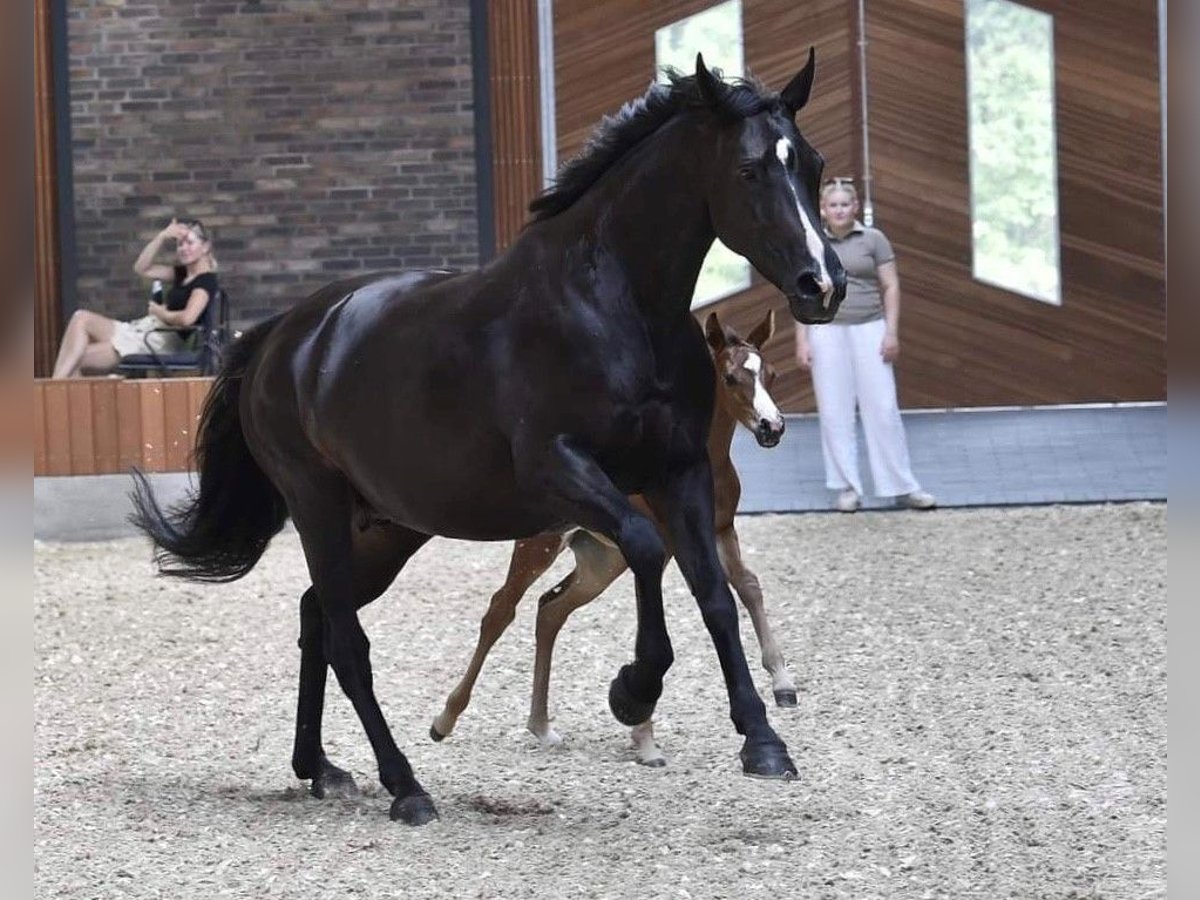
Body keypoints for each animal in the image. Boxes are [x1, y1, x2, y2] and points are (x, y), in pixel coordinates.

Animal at [432, 309, 796, 768]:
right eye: (731, 378)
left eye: (771, 373)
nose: (772, 427)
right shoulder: (664, 547)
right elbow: (653, 617)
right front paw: (645, 738)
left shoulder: (719, 530)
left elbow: (748, 586)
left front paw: (783, 682)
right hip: (542, 545)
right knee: (500, 611)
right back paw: (445, 718)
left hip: (600, 562)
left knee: (550, 610)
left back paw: (541, 726)